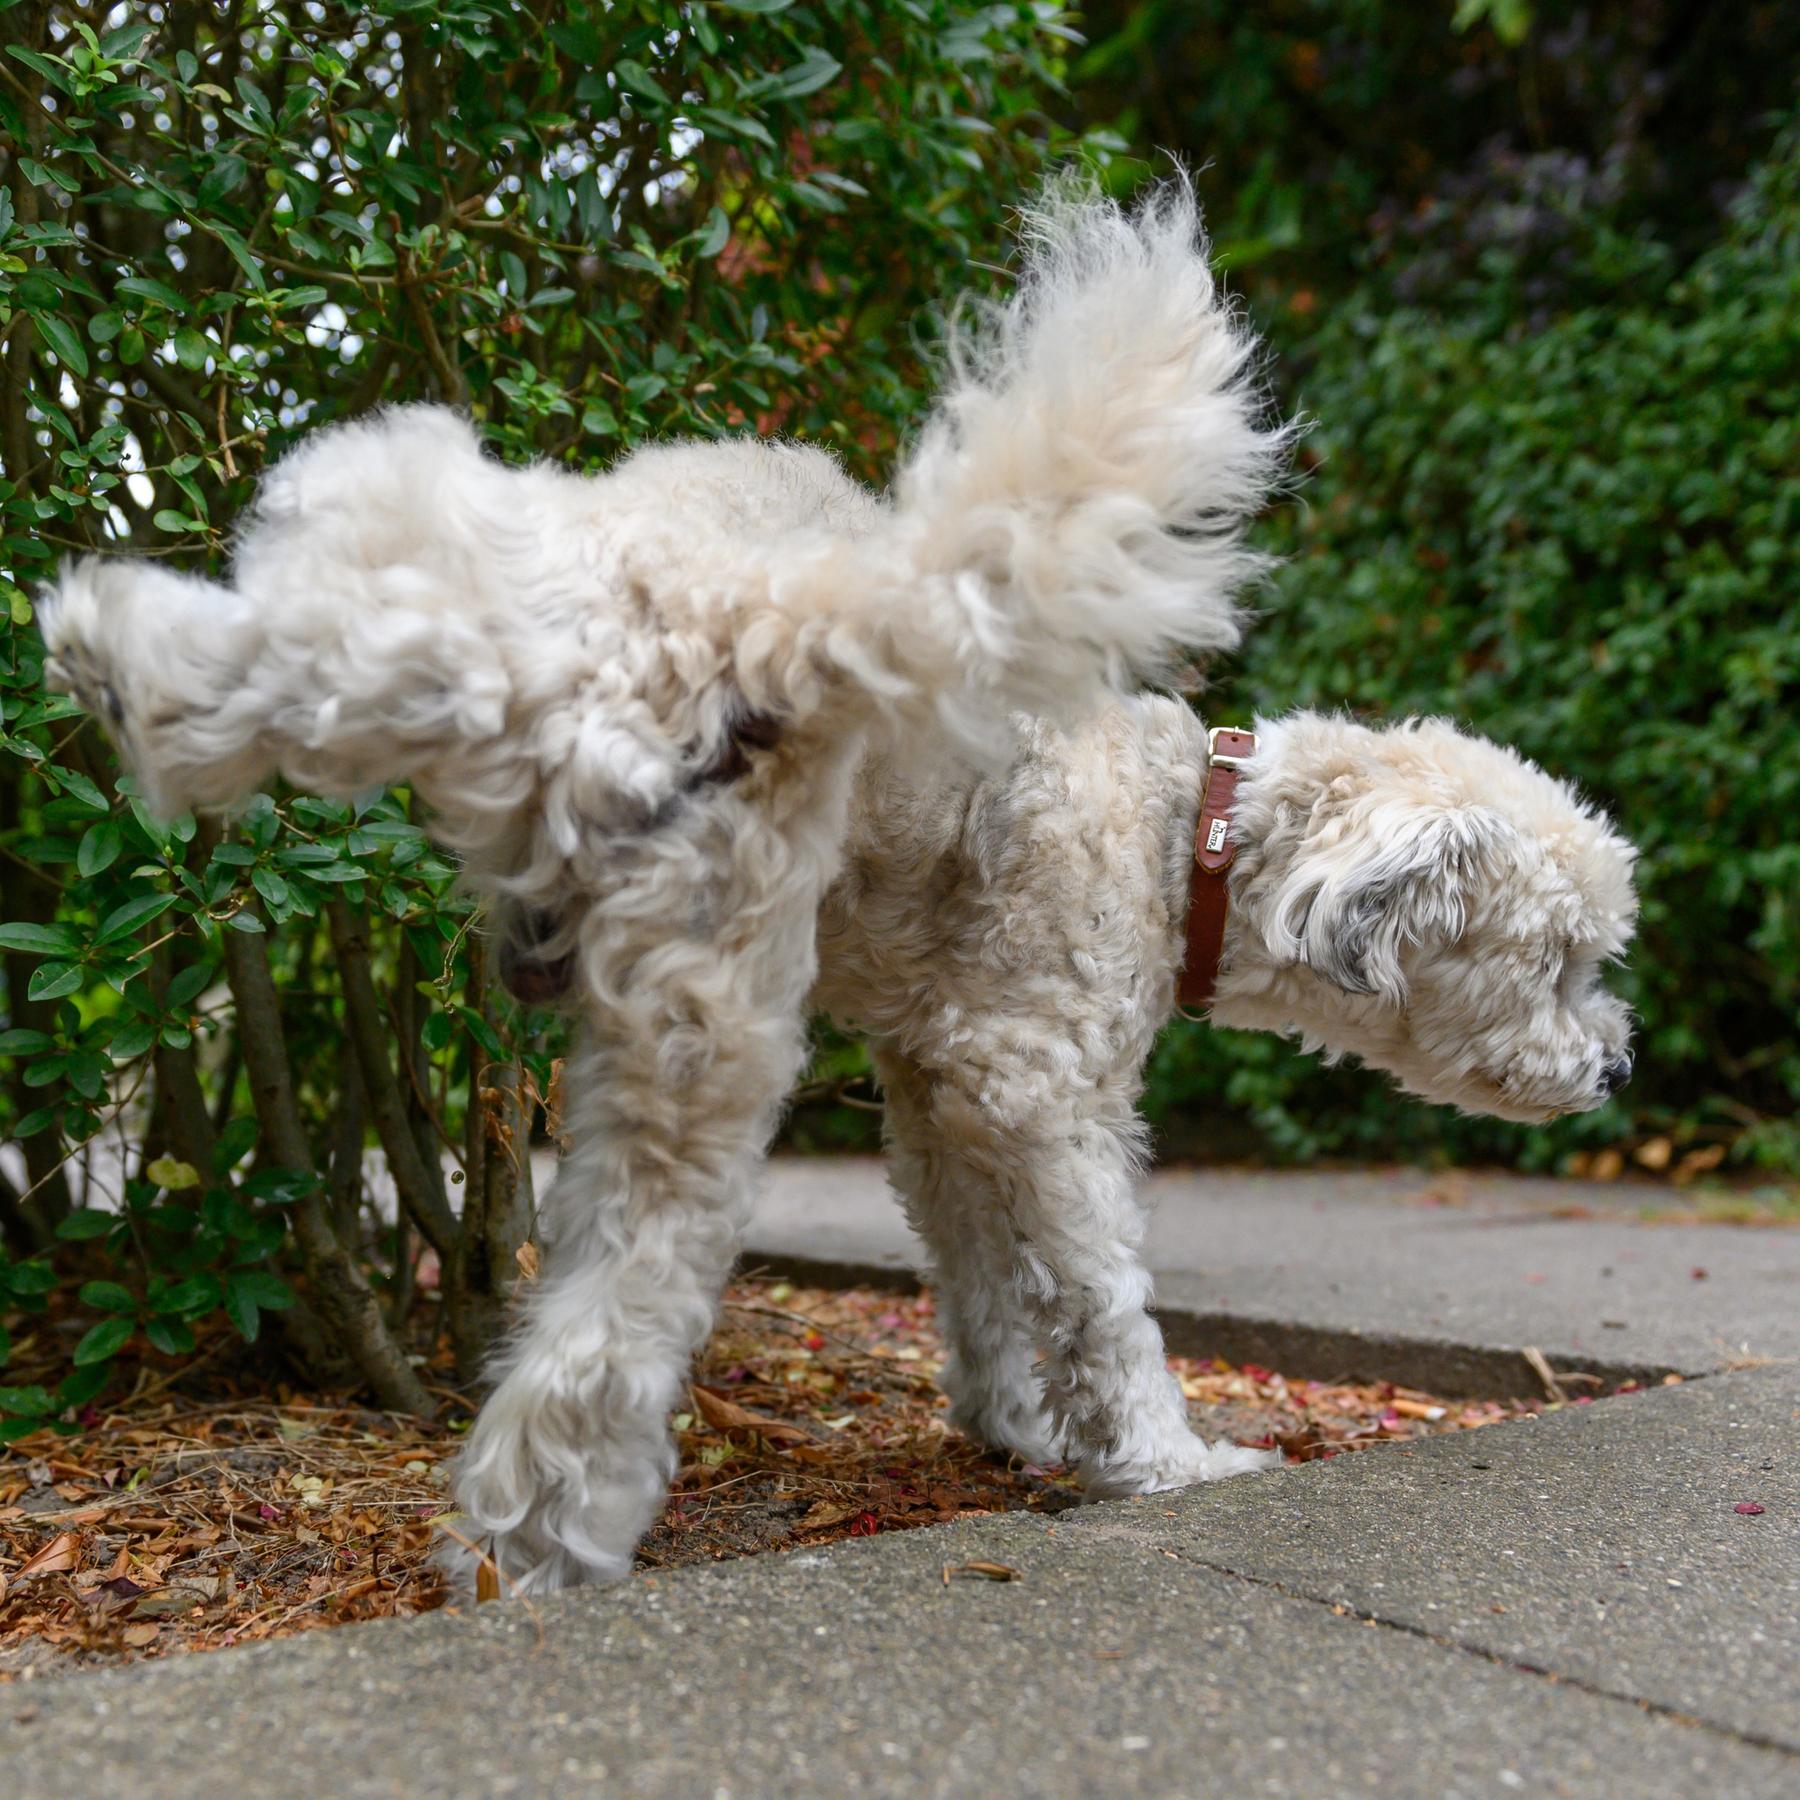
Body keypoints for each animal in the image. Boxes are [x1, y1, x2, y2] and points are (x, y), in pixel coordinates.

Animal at [49, 182, 1641, 1591]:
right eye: (1560, 959)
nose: (1620, 1067)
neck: (1182, 827)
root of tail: (757, 623)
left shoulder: (940, 1103)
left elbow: (987, 1285)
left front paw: (1010, 1427)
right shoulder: (1038, 1087)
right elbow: (1101, 1298)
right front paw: (1160, 1462)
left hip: (424, 652)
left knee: (264, 678)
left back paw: (106, 649)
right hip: (708, 1042)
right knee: (605, 1335)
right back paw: (535, 1553)